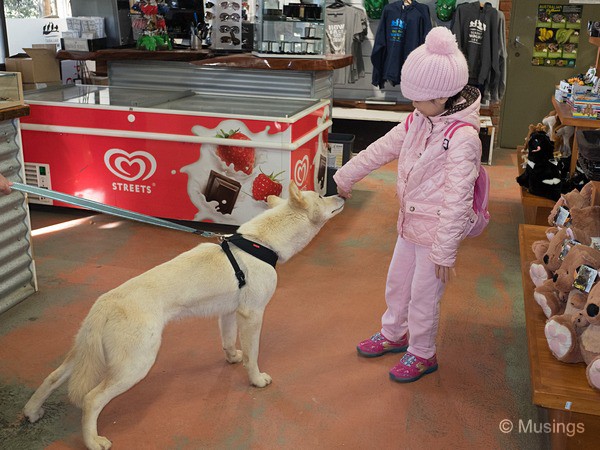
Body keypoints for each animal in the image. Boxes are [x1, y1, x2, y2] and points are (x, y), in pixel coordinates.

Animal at [22, 184, 342, 450]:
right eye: (321, 195)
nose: (340, 194)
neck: (260, 243)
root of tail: (105, 304)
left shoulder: (228, 313)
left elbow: (228, 342)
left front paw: (232, 358)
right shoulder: (252, 315)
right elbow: (253, 355)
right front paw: (256, 379)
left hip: (84, 354)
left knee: (52, 378)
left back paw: (31, 411)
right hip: (136, 365)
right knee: (91, 399)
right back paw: (93, 441)